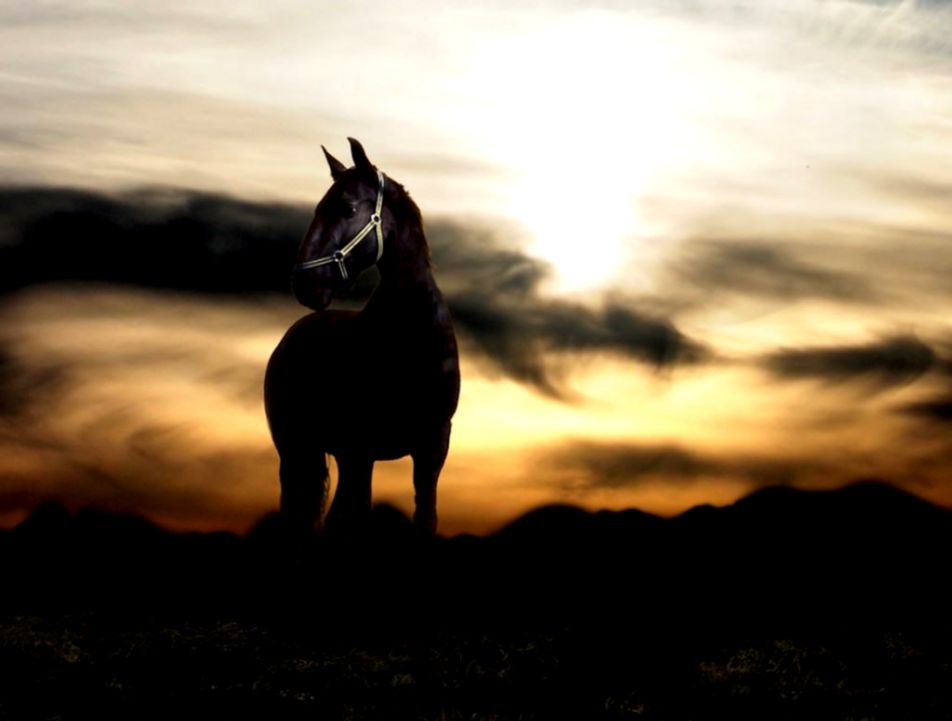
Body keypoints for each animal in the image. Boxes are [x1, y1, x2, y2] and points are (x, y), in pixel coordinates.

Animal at [264, 138, 460, 535]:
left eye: (349, 207)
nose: (304, 283)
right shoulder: (359, 449)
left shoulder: (432, 447)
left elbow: (425, 516)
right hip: (296, 448)